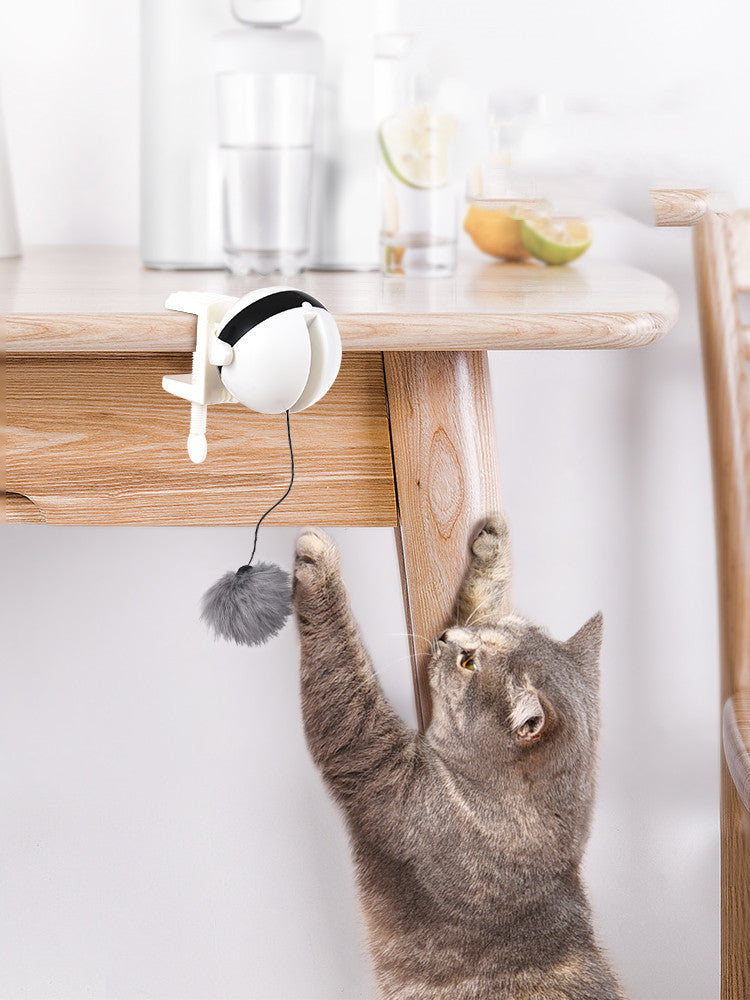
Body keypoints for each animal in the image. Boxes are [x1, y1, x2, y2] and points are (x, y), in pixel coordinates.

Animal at [294, 516, 628, 1000]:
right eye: (490, 628)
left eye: (469, 663)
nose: (446, 636)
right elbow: (475, 596)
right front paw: (491, 550)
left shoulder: (382, 767)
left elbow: (343, 674)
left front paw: (318, 566)